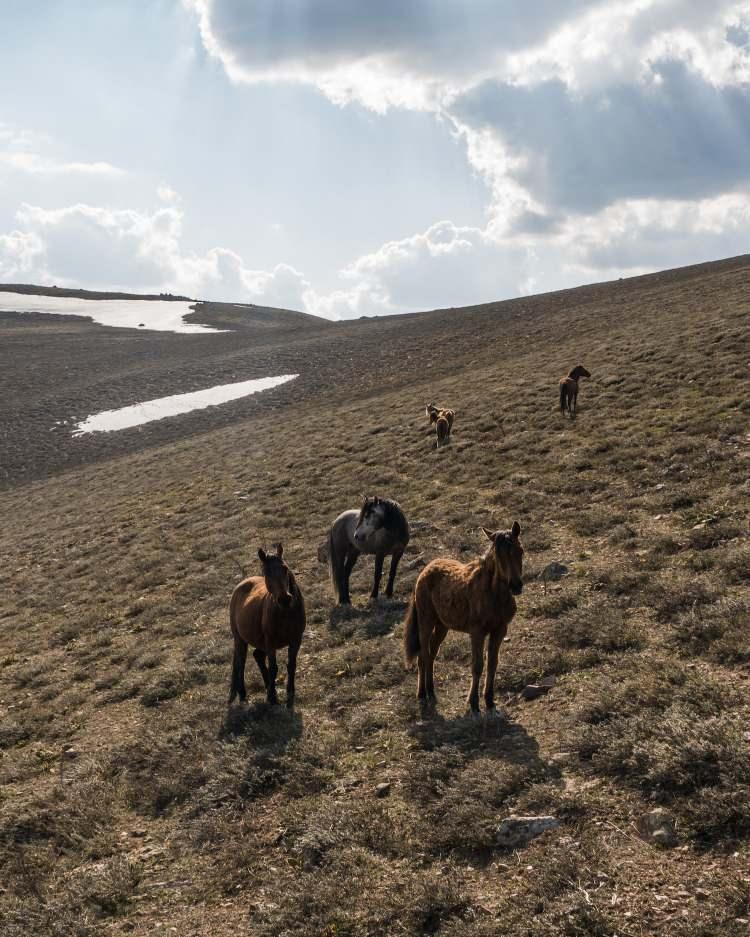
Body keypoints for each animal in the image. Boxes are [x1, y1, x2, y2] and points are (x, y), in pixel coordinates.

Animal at [226, 544, 306, 704]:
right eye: (266, 573)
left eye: (285, 568)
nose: (284, 599)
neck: (286, 613)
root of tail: (241, 584)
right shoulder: (270, 642)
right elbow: (273, 668)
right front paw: (271, 697)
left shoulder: (296, 640)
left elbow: (291, 665)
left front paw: (289, 692)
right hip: (240, 640)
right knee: (240, 663)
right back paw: (243, 694)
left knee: (257, 656)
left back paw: (268, 685)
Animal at [406, 524, 524, 712]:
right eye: (498, 556)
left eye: (520, 551)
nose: (516, 585)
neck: (493, 594)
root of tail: (425, 570)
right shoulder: (477, 633)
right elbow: (477, 666)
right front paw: (474, 703)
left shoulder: (499, 630)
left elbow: (492, 664)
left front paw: (489, 700)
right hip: (426, 622)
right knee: (423, 655)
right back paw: (422, 694)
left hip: (442, 626)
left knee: (432, 653)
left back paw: (431, 691)